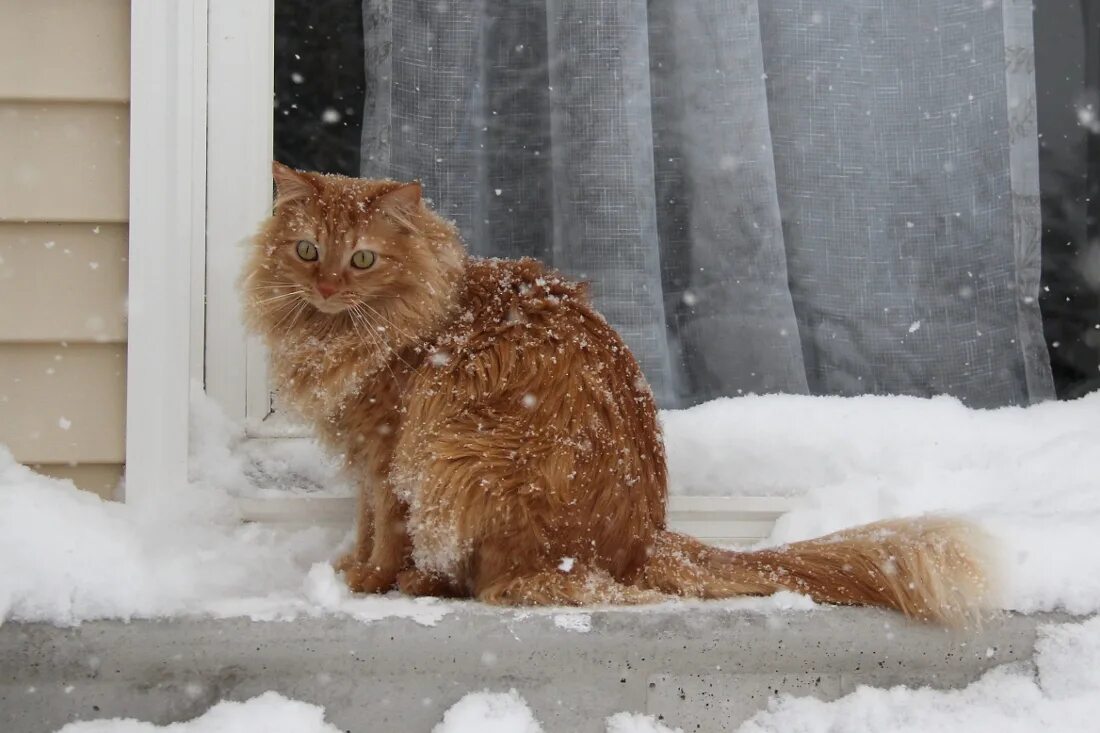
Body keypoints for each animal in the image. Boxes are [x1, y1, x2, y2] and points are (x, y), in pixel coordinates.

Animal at [245, 163, 994, 620]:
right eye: (307, 251)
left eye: (362, 258)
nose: (327, 285)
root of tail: (642, 542)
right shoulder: (366, 460)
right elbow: (366, 523)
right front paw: (351, 568)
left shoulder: (390, 451)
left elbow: (389, 533)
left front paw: (369, 582)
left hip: (456, 457)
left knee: (499, 583)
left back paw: (436, 584)